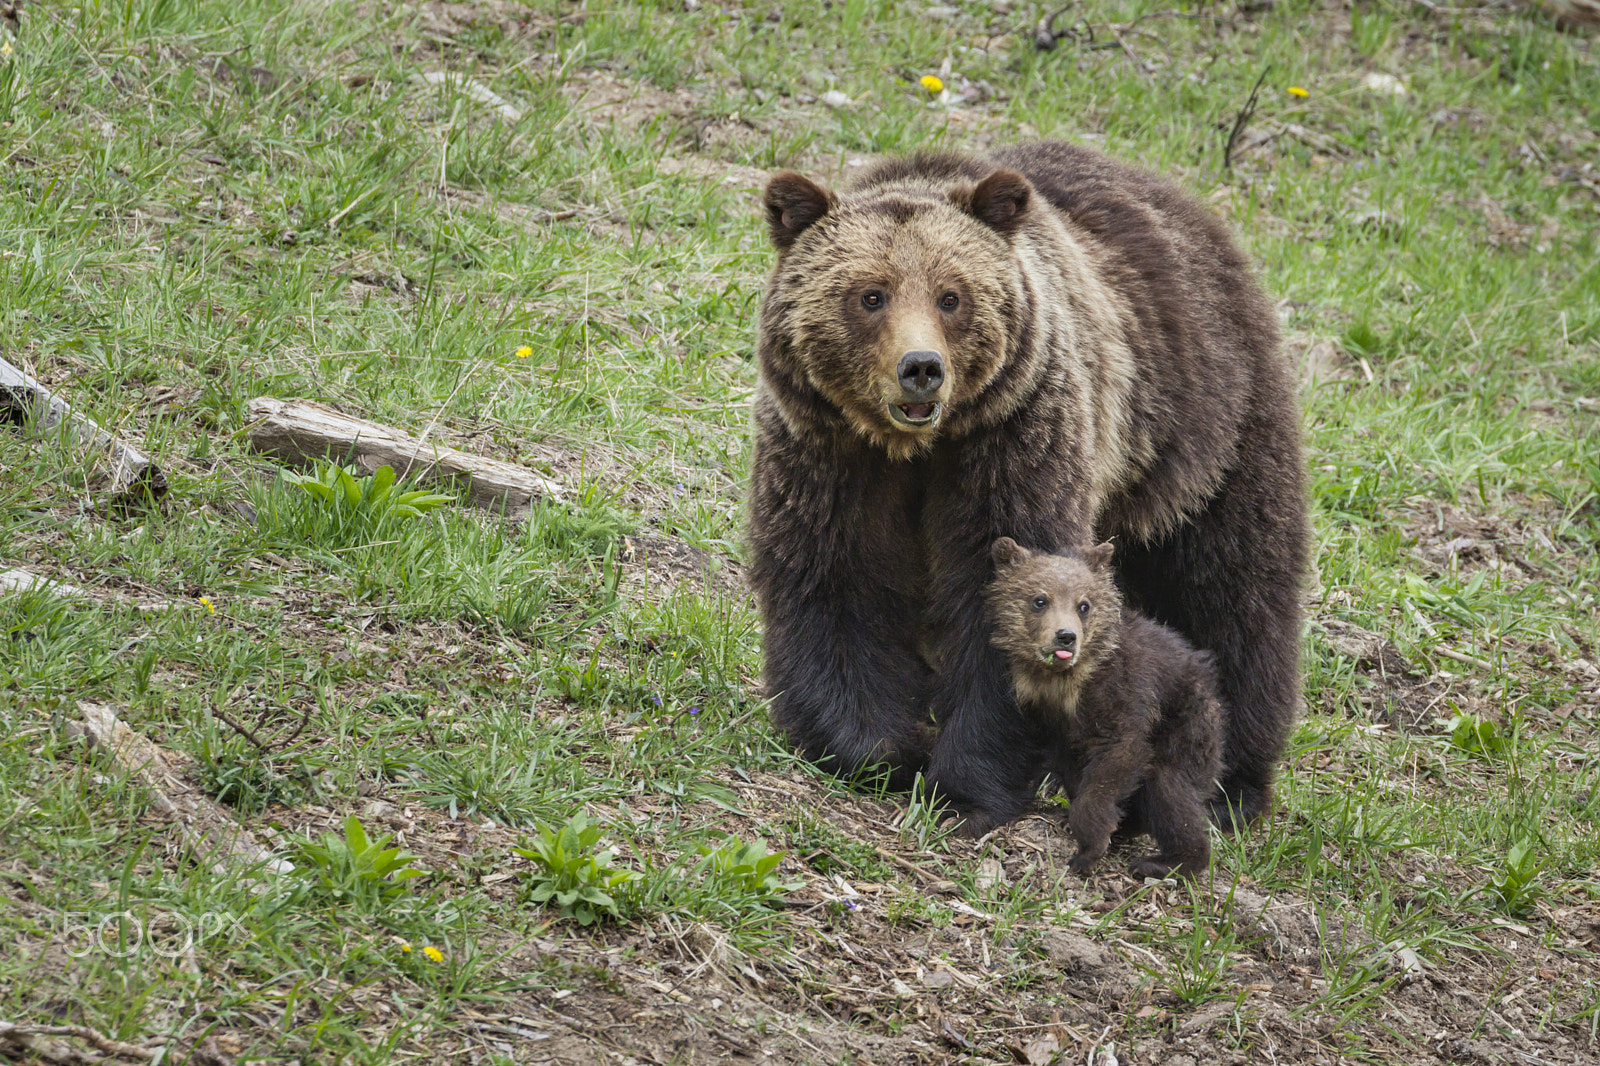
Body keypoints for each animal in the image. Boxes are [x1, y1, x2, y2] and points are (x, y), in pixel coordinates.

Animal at [746, 140, 1306, 835]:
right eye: (870, 295)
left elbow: (1008, 589)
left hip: (1205, 432)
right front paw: (881, 750)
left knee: (1235, 590)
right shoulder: (829, 455)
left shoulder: (1015, 442)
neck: (918, 449)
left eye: (951, 296)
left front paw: (966, 786)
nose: (921, 368)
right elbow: (836, 580)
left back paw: (1231, 780)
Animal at [985, 537, 1221, 879]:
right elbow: (1072, 763)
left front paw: (1088, 848)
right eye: (1039, 600)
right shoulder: (1050, 716)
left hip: (1187, 721)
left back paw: (1168, 860)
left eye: (1084, 605)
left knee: (1170, 788)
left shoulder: (1121, 687)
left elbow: (1118, 750)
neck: (1062, 680)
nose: (1066, 636)